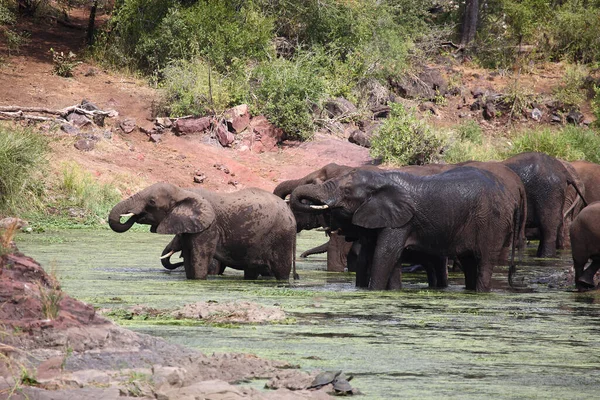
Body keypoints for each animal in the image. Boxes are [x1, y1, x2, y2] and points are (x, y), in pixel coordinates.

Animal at [109, 182, 298, 282]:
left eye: (152, 202)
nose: (136, 215)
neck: (183, 192)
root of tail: (291, 214)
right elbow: (189, 259)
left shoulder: (209, 228)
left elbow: (200, 258)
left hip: (282, 235)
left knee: (281, 270)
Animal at [290, 166, 520, 290]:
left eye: (346, 191)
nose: (297, 275)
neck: (382, 179)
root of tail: (510, 195)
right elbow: (373, 255)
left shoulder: (401, 221)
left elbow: (384, 255)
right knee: (469, 262)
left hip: (492, 223)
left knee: (484, 263)